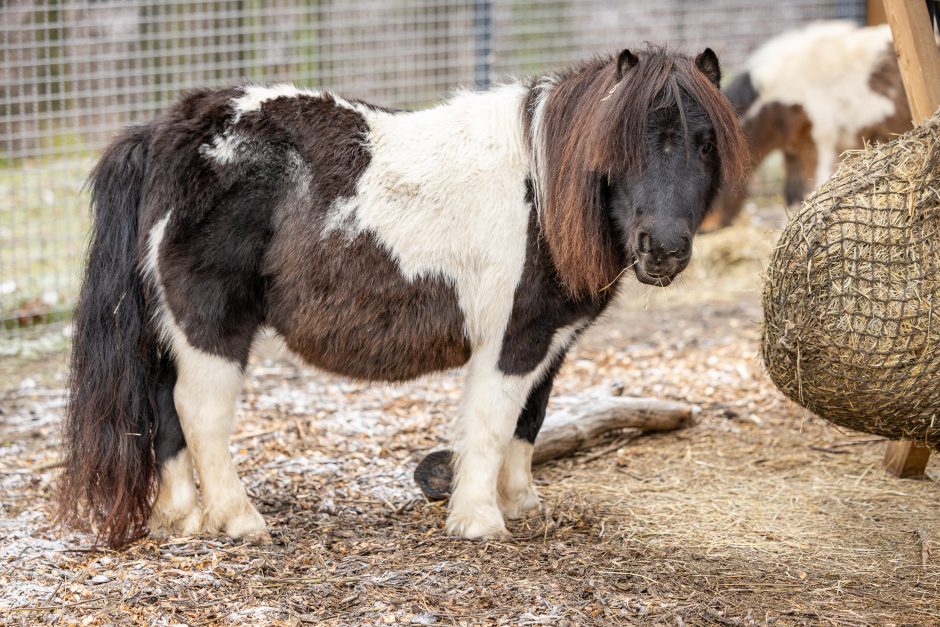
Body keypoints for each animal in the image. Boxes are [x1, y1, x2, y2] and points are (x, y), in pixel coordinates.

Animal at [60, 46, 748, 548]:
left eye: (705, 142)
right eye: (623, 145)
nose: (663, 249)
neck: (545, 193)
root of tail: (165, 131)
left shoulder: (550, 343)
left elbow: (527, 422)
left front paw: (521, 504)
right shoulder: (513, 339)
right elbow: (491, 423)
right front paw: (479, 521)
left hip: (168, 328)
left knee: (163, 411)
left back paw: (178, 518)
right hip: (210, 325)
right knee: (199, 413)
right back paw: (239, 521)